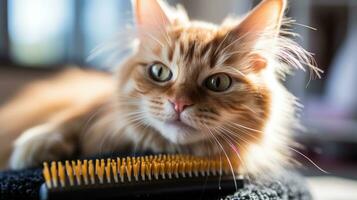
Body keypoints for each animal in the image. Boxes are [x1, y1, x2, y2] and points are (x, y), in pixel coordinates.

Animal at [0, 0, 320, 177]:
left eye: (218, 82)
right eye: (160, 72)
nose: (179, 104)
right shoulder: (97, 108)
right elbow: (71, 120)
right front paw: (35, 145)